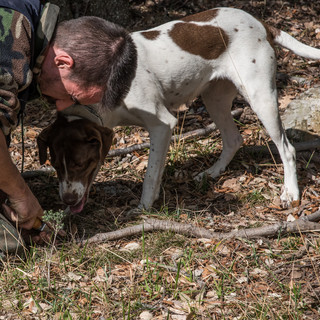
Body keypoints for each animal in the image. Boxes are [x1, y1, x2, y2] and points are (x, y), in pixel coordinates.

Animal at [38, 7, 320, 212]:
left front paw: (143, 208)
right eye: (55, 166)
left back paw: (291, 193)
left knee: (287, 149)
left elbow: (151, 175)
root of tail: (262, 23)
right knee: (233, 139)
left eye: (80, 163)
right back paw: (212, 173)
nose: (67, 200)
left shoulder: (162, 125)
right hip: (214, 97)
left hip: (260, 96)